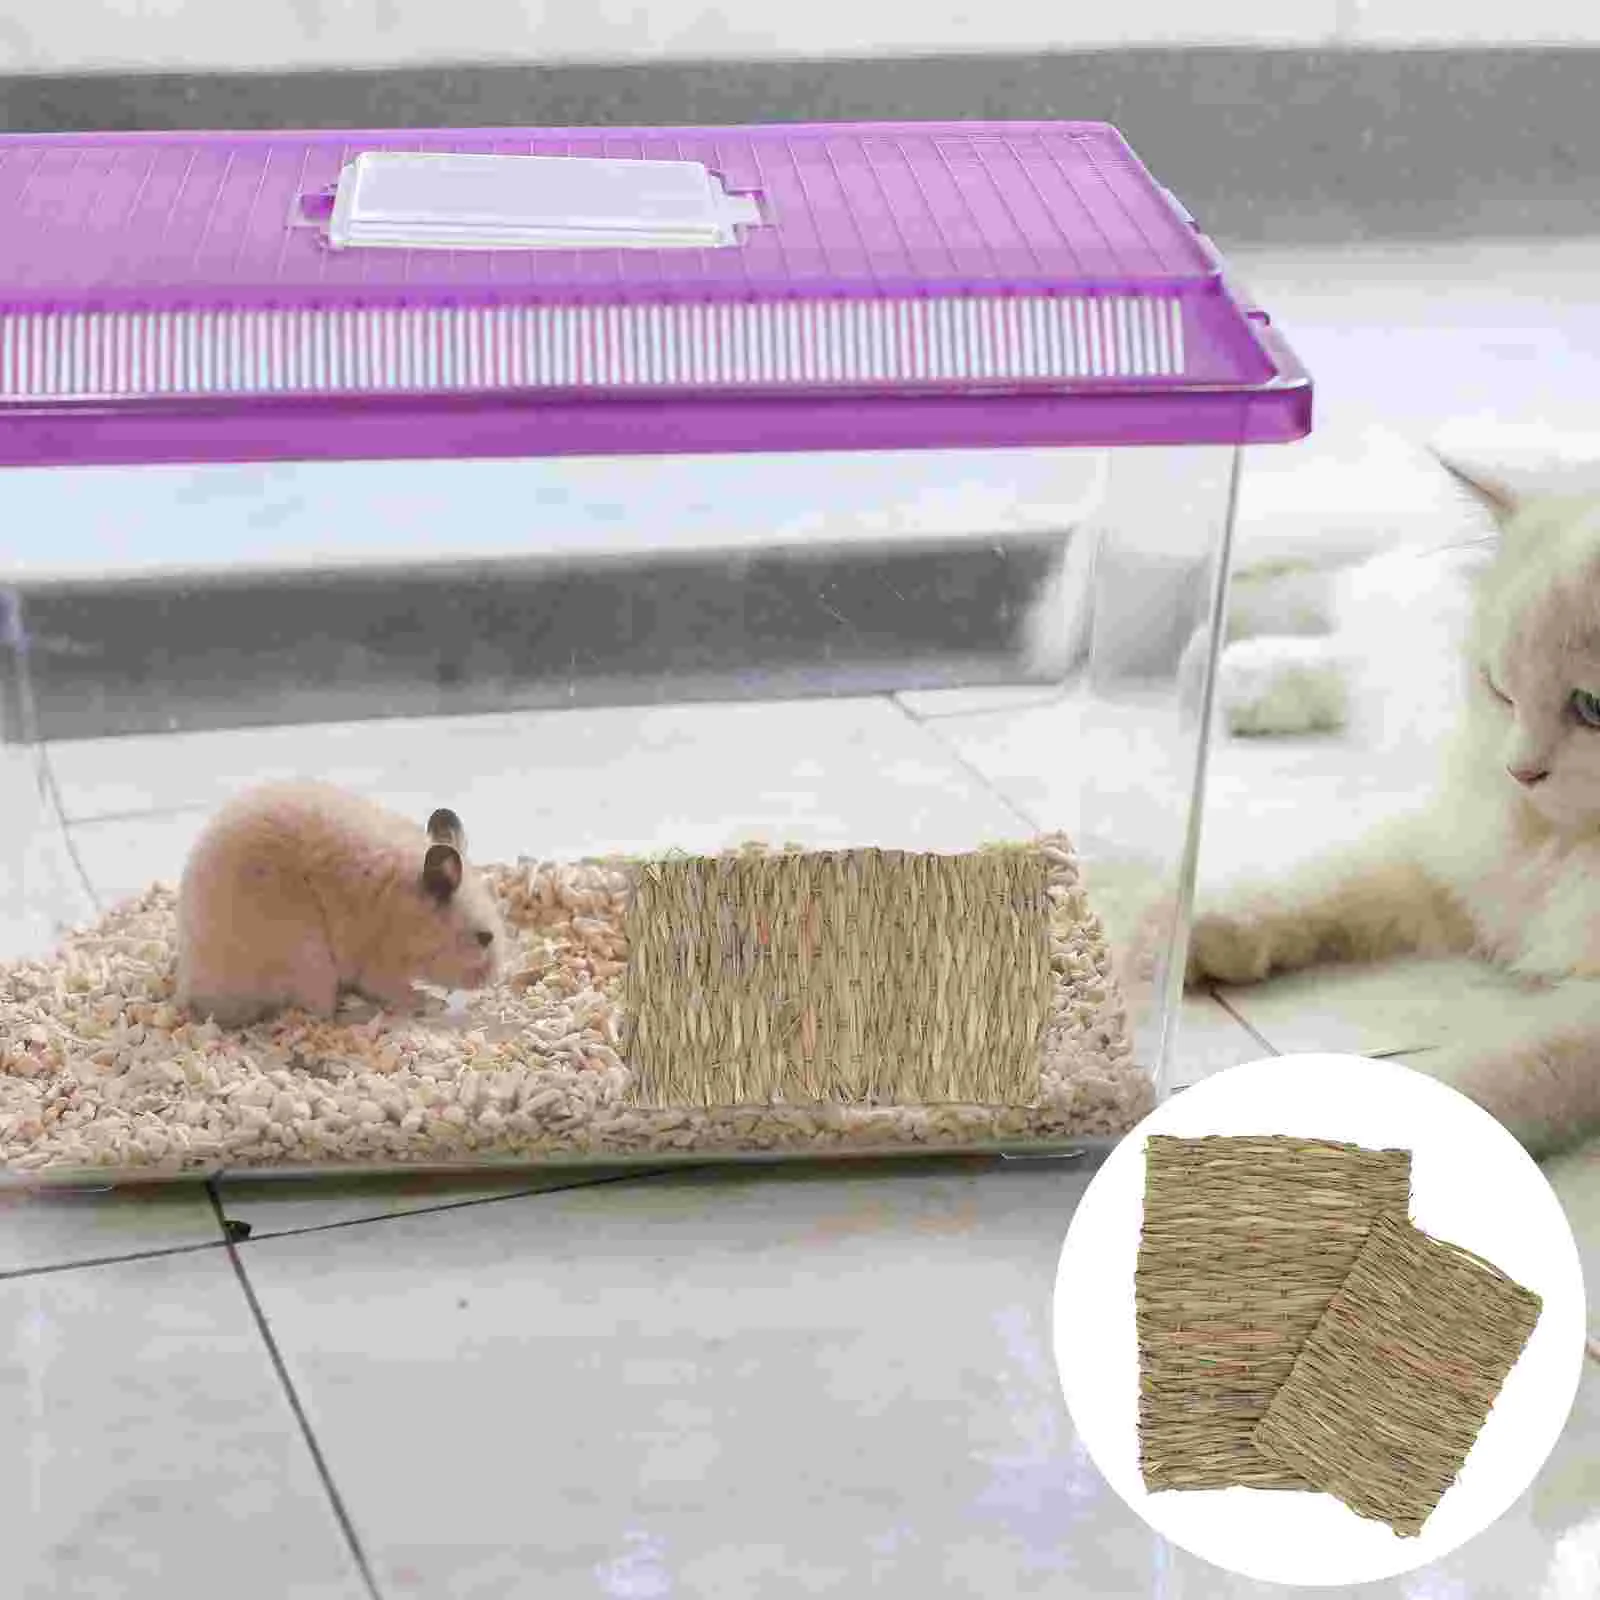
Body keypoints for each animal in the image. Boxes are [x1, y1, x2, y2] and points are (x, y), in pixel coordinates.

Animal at [175, 780, 507, 1028]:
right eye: (484, 937)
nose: (493, 979)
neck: (412, 914)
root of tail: (191, 994)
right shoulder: (380, 966)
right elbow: (396, 991)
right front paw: (432, 1003)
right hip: (309, 961)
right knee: (319, 1013)